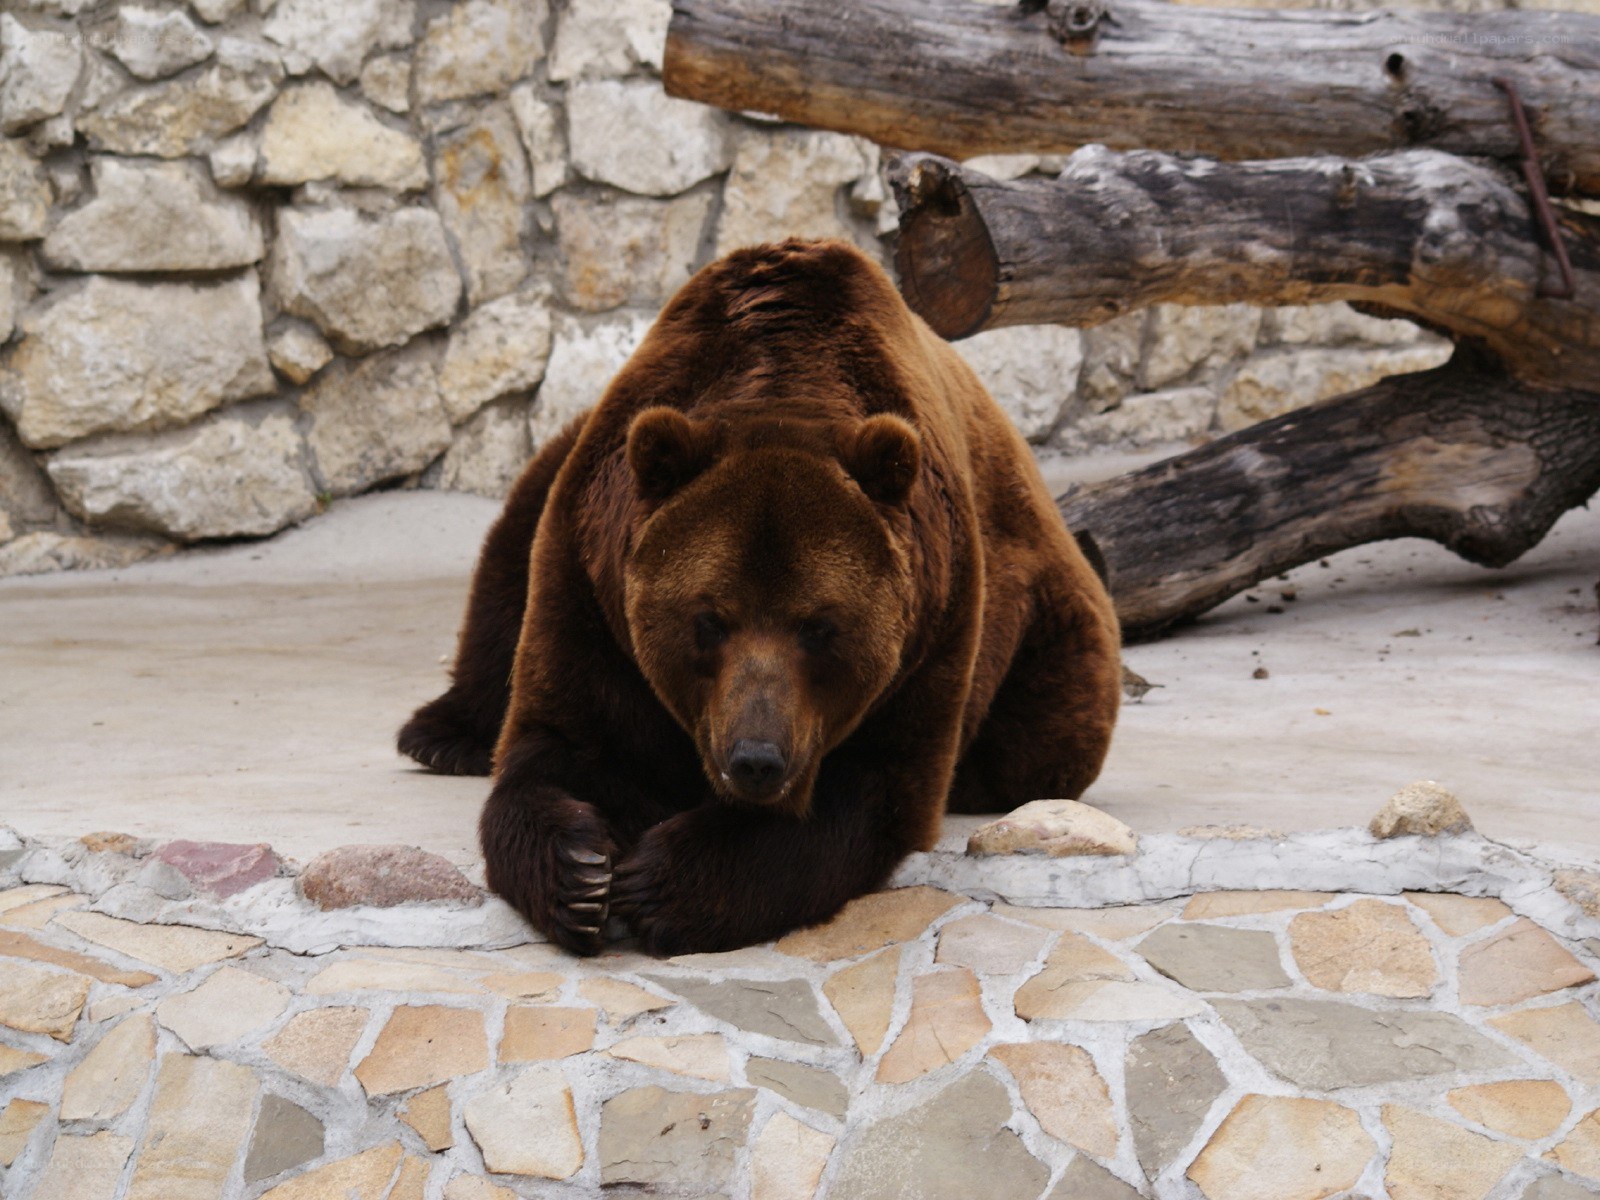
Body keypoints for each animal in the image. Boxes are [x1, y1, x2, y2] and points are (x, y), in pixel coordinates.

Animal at [399, 239, 1121, 957]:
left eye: (820, 627)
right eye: (709, 620)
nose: (755, 760)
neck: (783, 379)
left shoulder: (932, 630)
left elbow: (861, 794)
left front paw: (657, 883)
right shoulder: (591, 584)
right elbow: (557, 745)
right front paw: (581, 874)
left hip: (1047, 628)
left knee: (1042, 736)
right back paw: (442, 736)